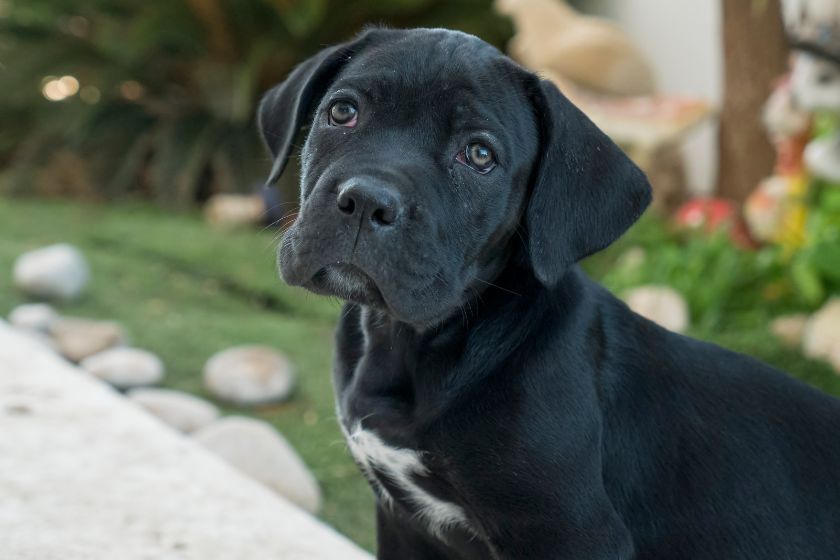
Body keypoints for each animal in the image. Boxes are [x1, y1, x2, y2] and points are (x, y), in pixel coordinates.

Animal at [260, 27, 840, 560]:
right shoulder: (404, 522)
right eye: (342, 111)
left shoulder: (572, 534)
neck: (409, 343)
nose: (365, 200)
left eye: (479, 154)